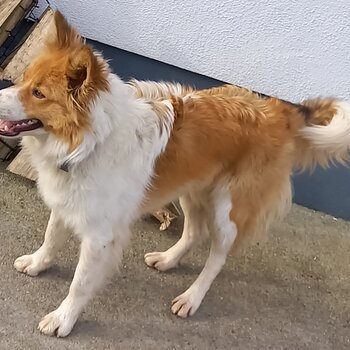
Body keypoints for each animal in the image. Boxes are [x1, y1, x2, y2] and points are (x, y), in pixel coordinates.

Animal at [0, 12, 350, 338]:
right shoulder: (67, 202)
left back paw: (191, 297)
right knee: (194, 232)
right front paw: (37, 263)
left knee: (218, 255)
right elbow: (50, 238)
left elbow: (80, 282)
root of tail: (278, 111)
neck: (89, 142)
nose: (1, 90)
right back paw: (168, 260)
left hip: (228, 209)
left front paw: (63, 318)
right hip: (191, 189)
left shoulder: (101, 236)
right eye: (24, 79)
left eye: (39, 93)